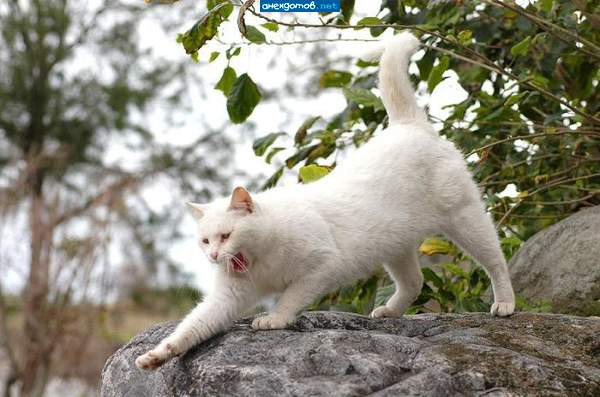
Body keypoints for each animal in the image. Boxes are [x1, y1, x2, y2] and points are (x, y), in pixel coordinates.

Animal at [136, 32, 516, 370]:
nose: (214, 256)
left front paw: (274, 319)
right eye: (204, 241)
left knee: (496, 261)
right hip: (395, 244)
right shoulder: (227, 298)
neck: (260, 256)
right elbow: (192, 326)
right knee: (414, 282)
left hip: (465, 218)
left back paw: (505, 304)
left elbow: (290, 297)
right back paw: (390, 311)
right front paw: (157, 356)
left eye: (226, 236)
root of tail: (408, 124)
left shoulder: (322, 266)